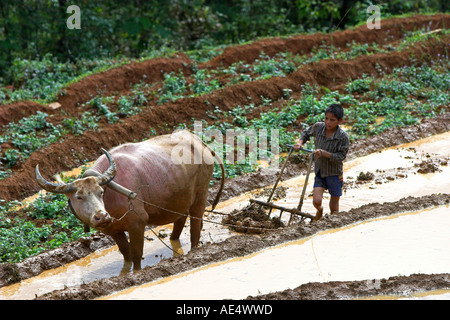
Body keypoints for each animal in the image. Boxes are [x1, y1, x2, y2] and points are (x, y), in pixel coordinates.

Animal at [34, 131, 223, 272]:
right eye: (79, 197)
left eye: (100, 192)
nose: (102, 217)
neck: (111, 196)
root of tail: (199, 142)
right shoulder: (112, 230)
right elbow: (126, 254)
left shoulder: (137, 224)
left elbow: (137, 254)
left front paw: (137, 273)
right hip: (180, 199)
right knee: (179, 223)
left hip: (201, 194)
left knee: (195, 227)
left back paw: (194, 251)